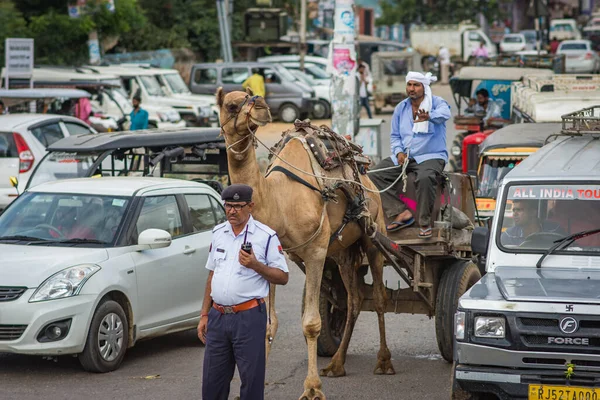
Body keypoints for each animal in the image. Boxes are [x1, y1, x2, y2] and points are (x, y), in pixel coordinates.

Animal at [216, 88, 394, 400]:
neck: (279, 200)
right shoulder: (271, 258)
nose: (261, 105)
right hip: (342, 253)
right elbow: (269, 322)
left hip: (374, 233)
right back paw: (336, 364)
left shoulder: (315, 252)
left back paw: (383, 362)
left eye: (251, 95)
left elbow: (311, 323)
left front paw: (312, 388)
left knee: (380, 297)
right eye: (231, 104)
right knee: (354, 299)